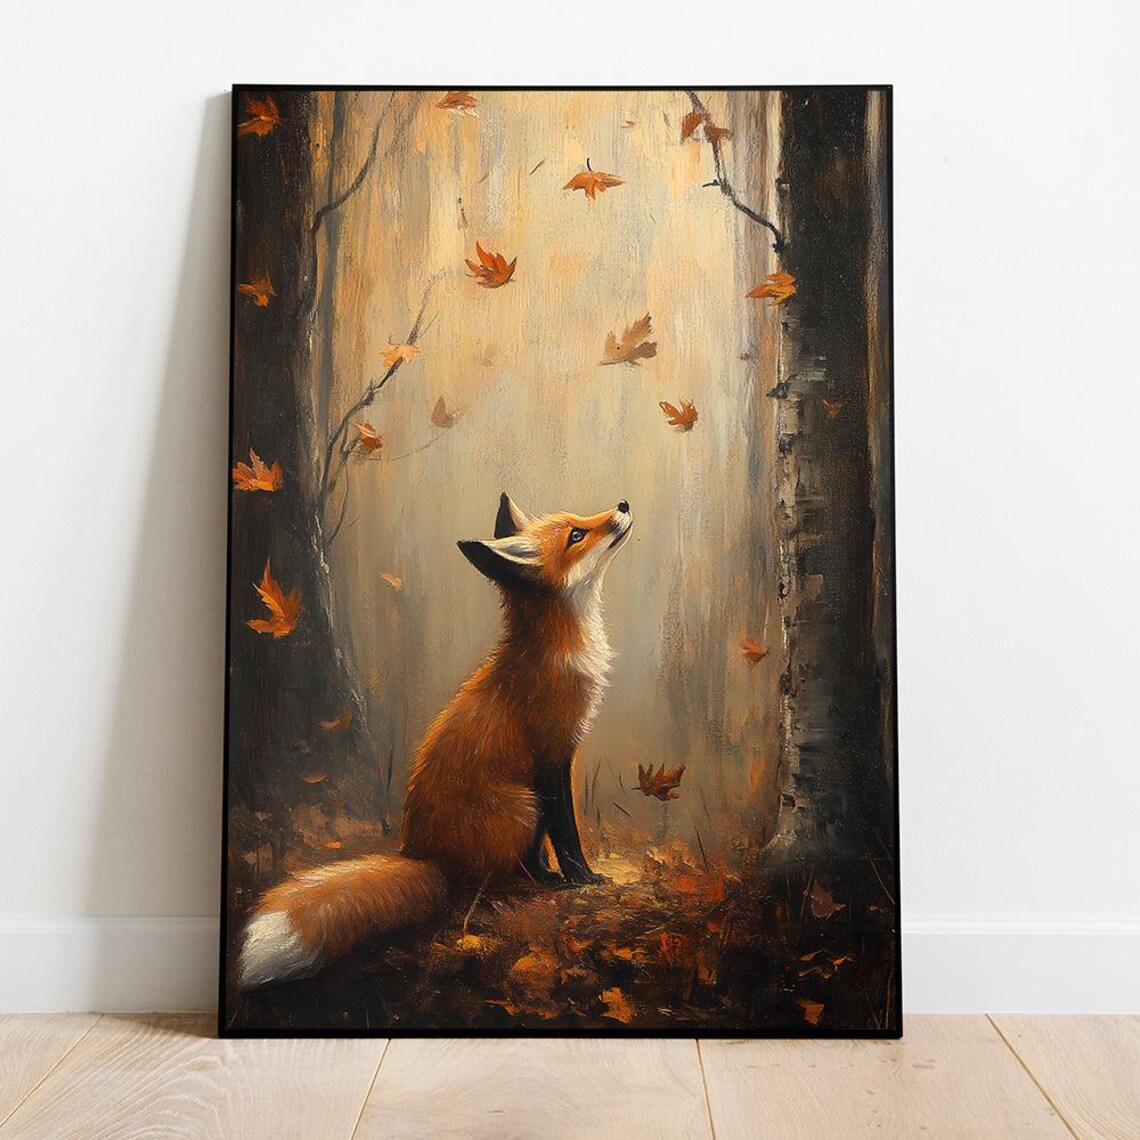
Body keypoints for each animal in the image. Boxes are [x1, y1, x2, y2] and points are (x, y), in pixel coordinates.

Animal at [238, 493, 634, 987]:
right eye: (577, 534)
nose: (623, 504)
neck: (557, 650)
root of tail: (422, 855)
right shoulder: (551, 756)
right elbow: (566, 834)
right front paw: (582, 879)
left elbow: (551, 841)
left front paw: (565, 876)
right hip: (523, 804)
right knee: (494, 877)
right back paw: (537, 882)